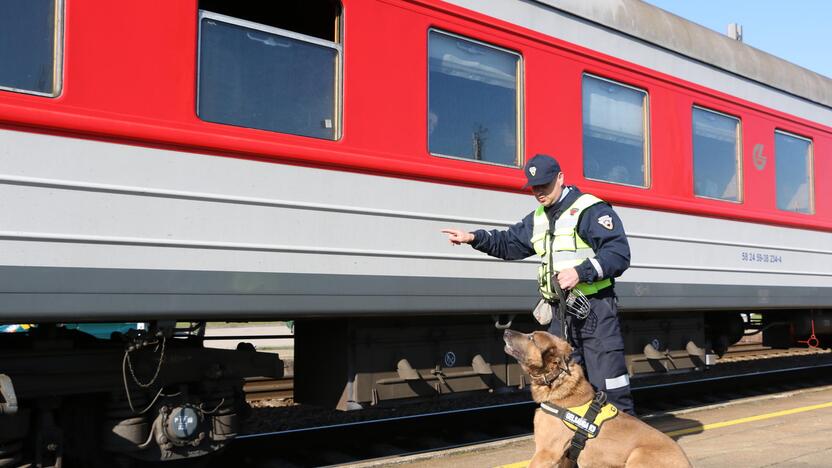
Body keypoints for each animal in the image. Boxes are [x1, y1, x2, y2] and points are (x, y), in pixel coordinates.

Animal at [504, 330, 692, 468]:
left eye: (531, 338)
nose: (506, 331)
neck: (557, 379)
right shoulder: (564, 457)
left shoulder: (546, 452)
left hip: (637, 455)